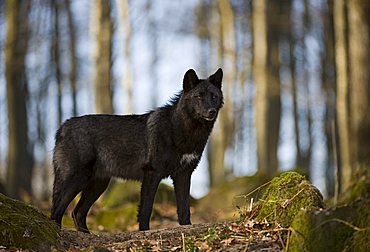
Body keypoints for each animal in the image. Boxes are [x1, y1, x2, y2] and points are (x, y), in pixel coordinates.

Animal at [50, 67, 224, 232]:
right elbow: (146, 209)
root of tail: (63, 126)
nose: (212, 111)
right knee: (57, 210)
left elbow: (184, 209)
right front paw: (144, 231)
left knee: (77, 213)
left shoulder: (183, 175)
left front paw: (187, 227)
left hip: (98, 185)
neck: (181, 129)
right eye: (199, 96)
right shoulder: (152, 174)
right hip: (77, 179)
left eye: (214, 97)